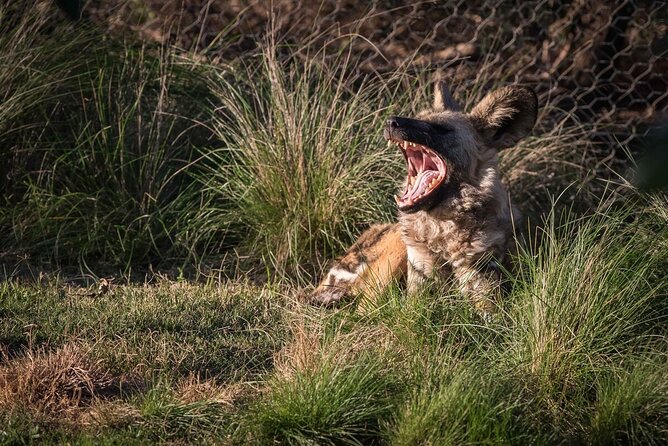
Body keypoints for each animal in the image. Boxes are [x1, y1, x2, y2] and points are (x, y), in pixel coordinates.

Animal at [312, 81, 536, 318]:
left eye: (443, 129)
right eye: (419, 117)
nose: (391, 121)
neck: (442, 233)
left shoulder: (488, 301)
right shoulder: (417, 298)